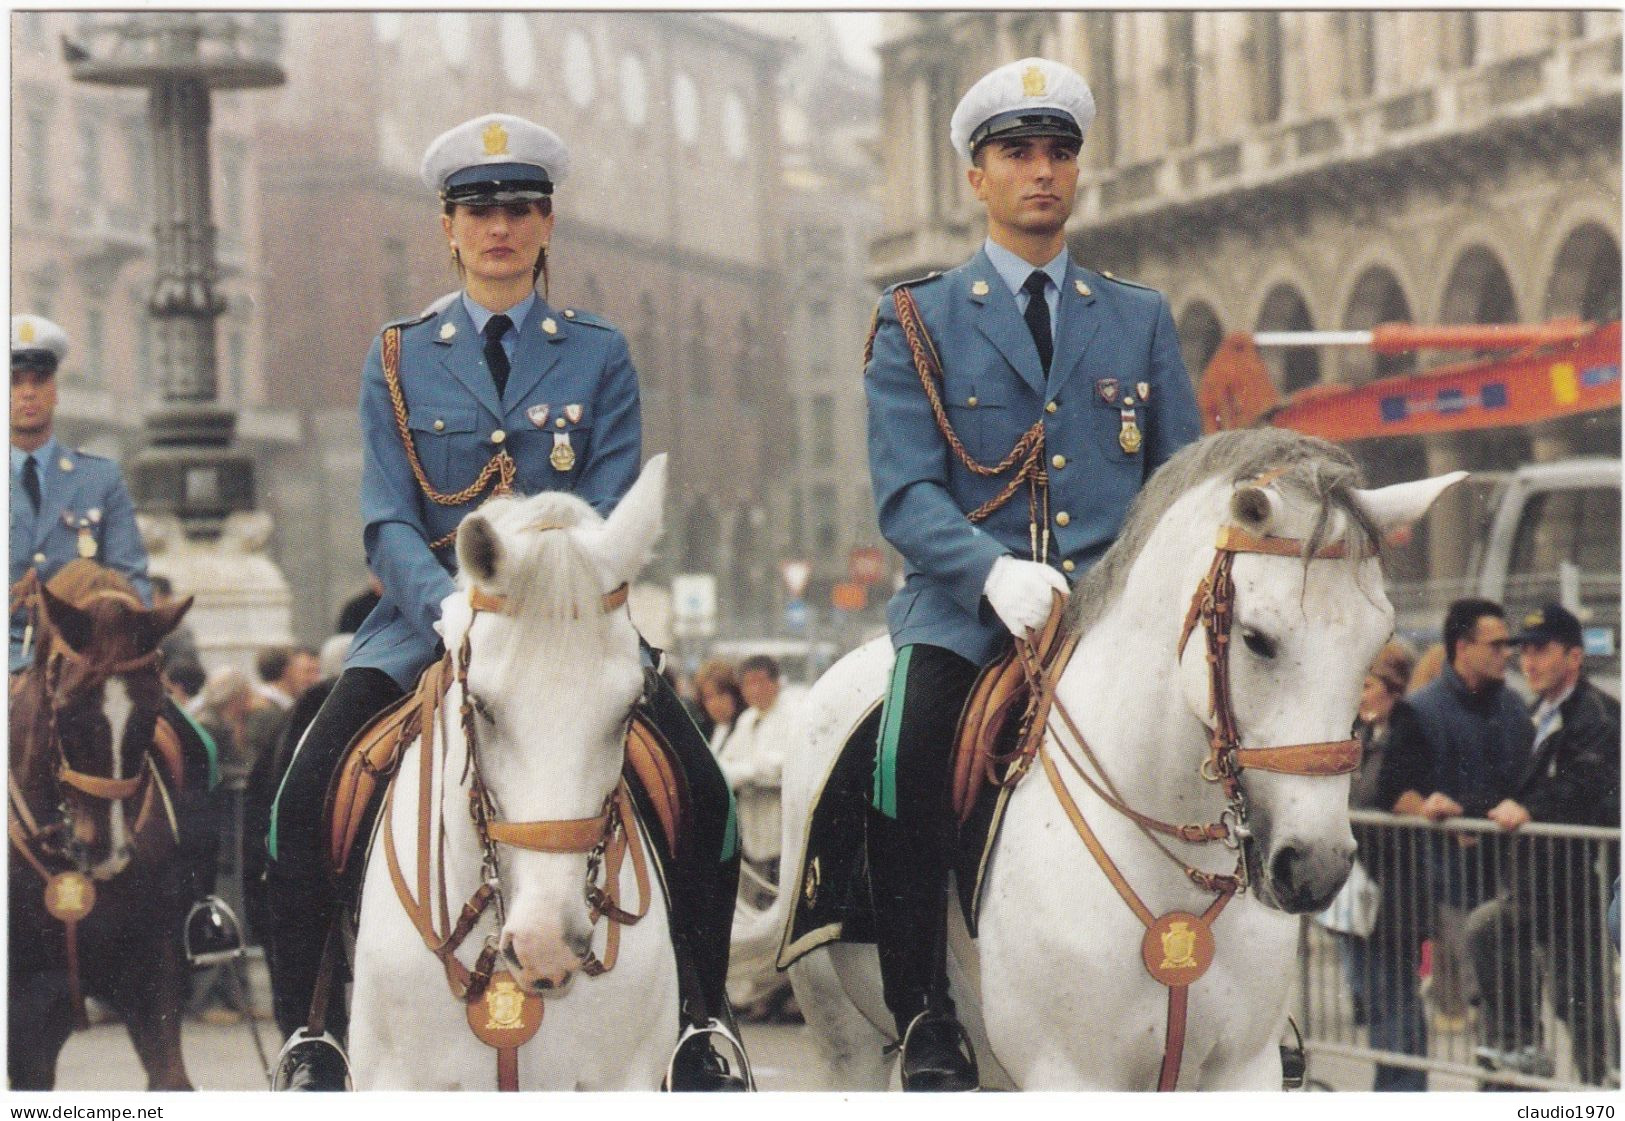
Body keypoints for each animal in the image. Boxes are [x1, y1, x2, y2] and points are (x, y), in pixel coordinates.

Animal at [7, 558, 193, 1085]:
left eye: (153, 711)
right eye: (67, 711)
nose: (107, 852)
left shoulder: (153, 977)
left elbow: (170, 1075)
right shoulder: (26, 1015)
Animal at [767, 428, 1469, 1085]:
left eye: (1379, 640)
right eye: (1257, 638)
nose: (1317, 866)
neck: (1169, 858)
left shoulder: (1242, 1072)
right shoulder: (1070, 1075)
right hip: (845, 1040)